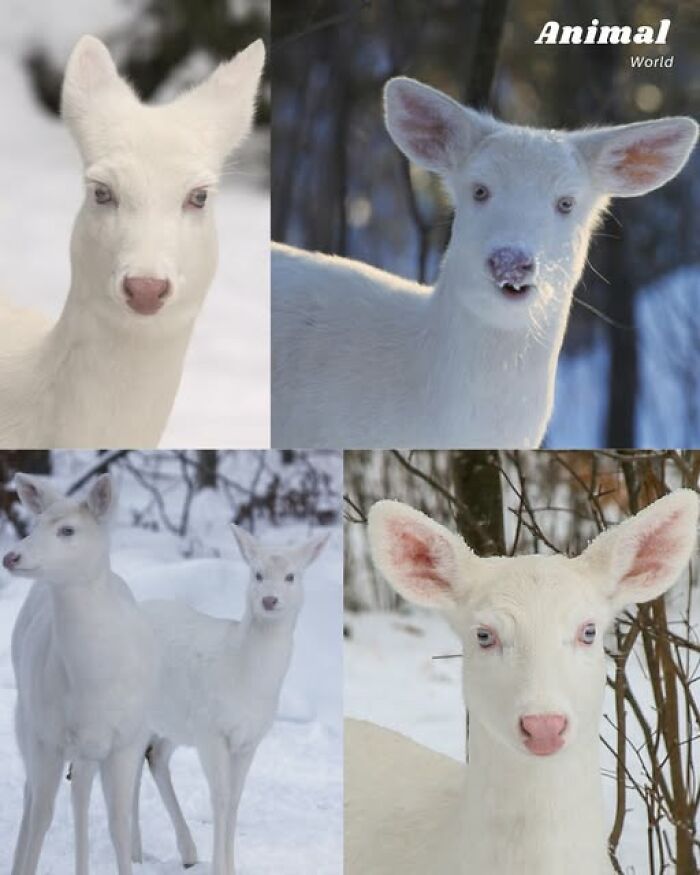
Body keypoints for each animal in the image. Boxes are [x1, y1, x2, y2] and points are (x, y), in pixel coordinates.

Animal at [5, 473, 158, 875]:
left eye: (67, 530)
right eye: (35, 524)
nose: (11, 556)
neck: (93, 682)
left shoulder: (126, 740)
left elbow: (118, 823)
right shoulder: (49, 737)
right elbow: (44, 816)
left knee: (76, 801)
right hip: (27, 720)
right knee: (34, 798)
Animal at [131, 524, 330, 875]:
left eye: (291, 576)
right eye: (257, 573)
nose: (269, 599)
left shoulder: (249, 738)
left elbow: (236, 798)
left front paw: (232, 867)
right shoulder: (211, 729)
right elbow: (220, 797)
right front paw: (219, 868)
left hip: (173, 722)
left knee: (155, 757)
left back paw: (184, 851)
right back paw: (135, 853)